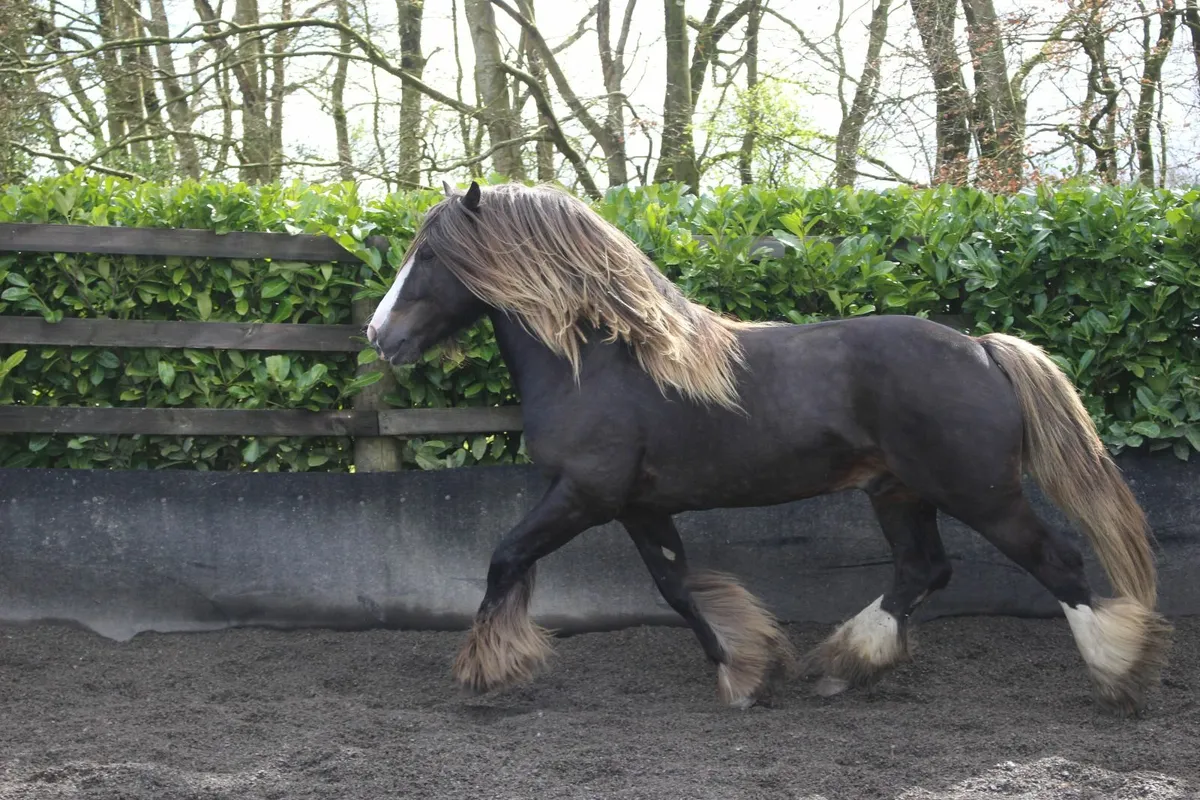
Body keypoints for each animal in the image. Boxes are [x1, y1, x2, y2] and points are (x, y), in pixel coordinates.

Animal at [365, 180, 1171, 716]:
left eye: (429, 255)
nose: (379, 336)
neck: (598, 362)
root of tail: (981, 348)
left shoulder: (583, 496)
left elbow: (506, 558)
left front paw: (484, 673)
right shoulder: (638, 507)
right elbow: (676, 586)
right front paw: (746, 672)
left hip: (980, 493)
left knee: (1057, 564)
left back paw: (1121, 676)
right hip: (899, 491)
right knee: (923, 570)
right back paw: (842, 666)